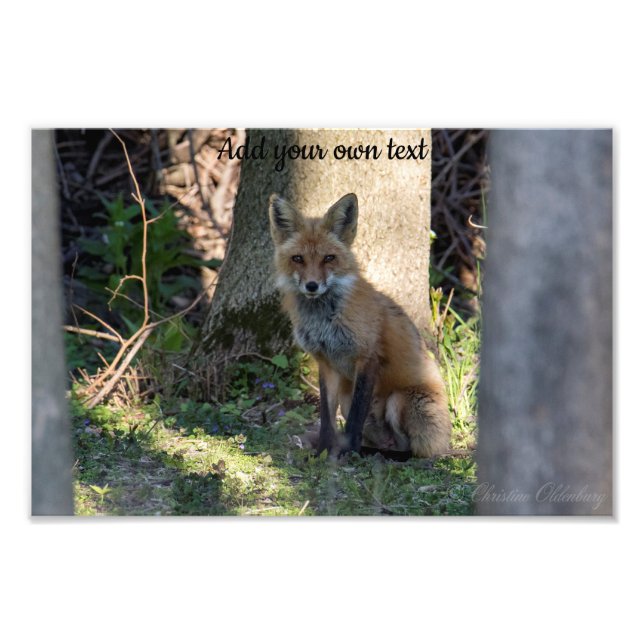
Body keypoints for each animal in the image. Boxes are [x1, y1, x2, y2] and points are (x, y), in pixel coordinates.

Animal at [268, 192, 452, 458]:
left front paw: (348, 453)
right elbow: (326, 418)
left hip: (398, 400)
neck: (325, 319)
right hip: (348, 396)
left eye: (329, 258)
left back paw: (379, 455)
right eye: (298, 259)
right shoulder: (326, 363)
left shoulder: (367, 357)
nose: (312, 286)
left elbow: (355, 418)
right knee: (384, 441)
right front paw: (323, 451)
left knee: (412, 450)